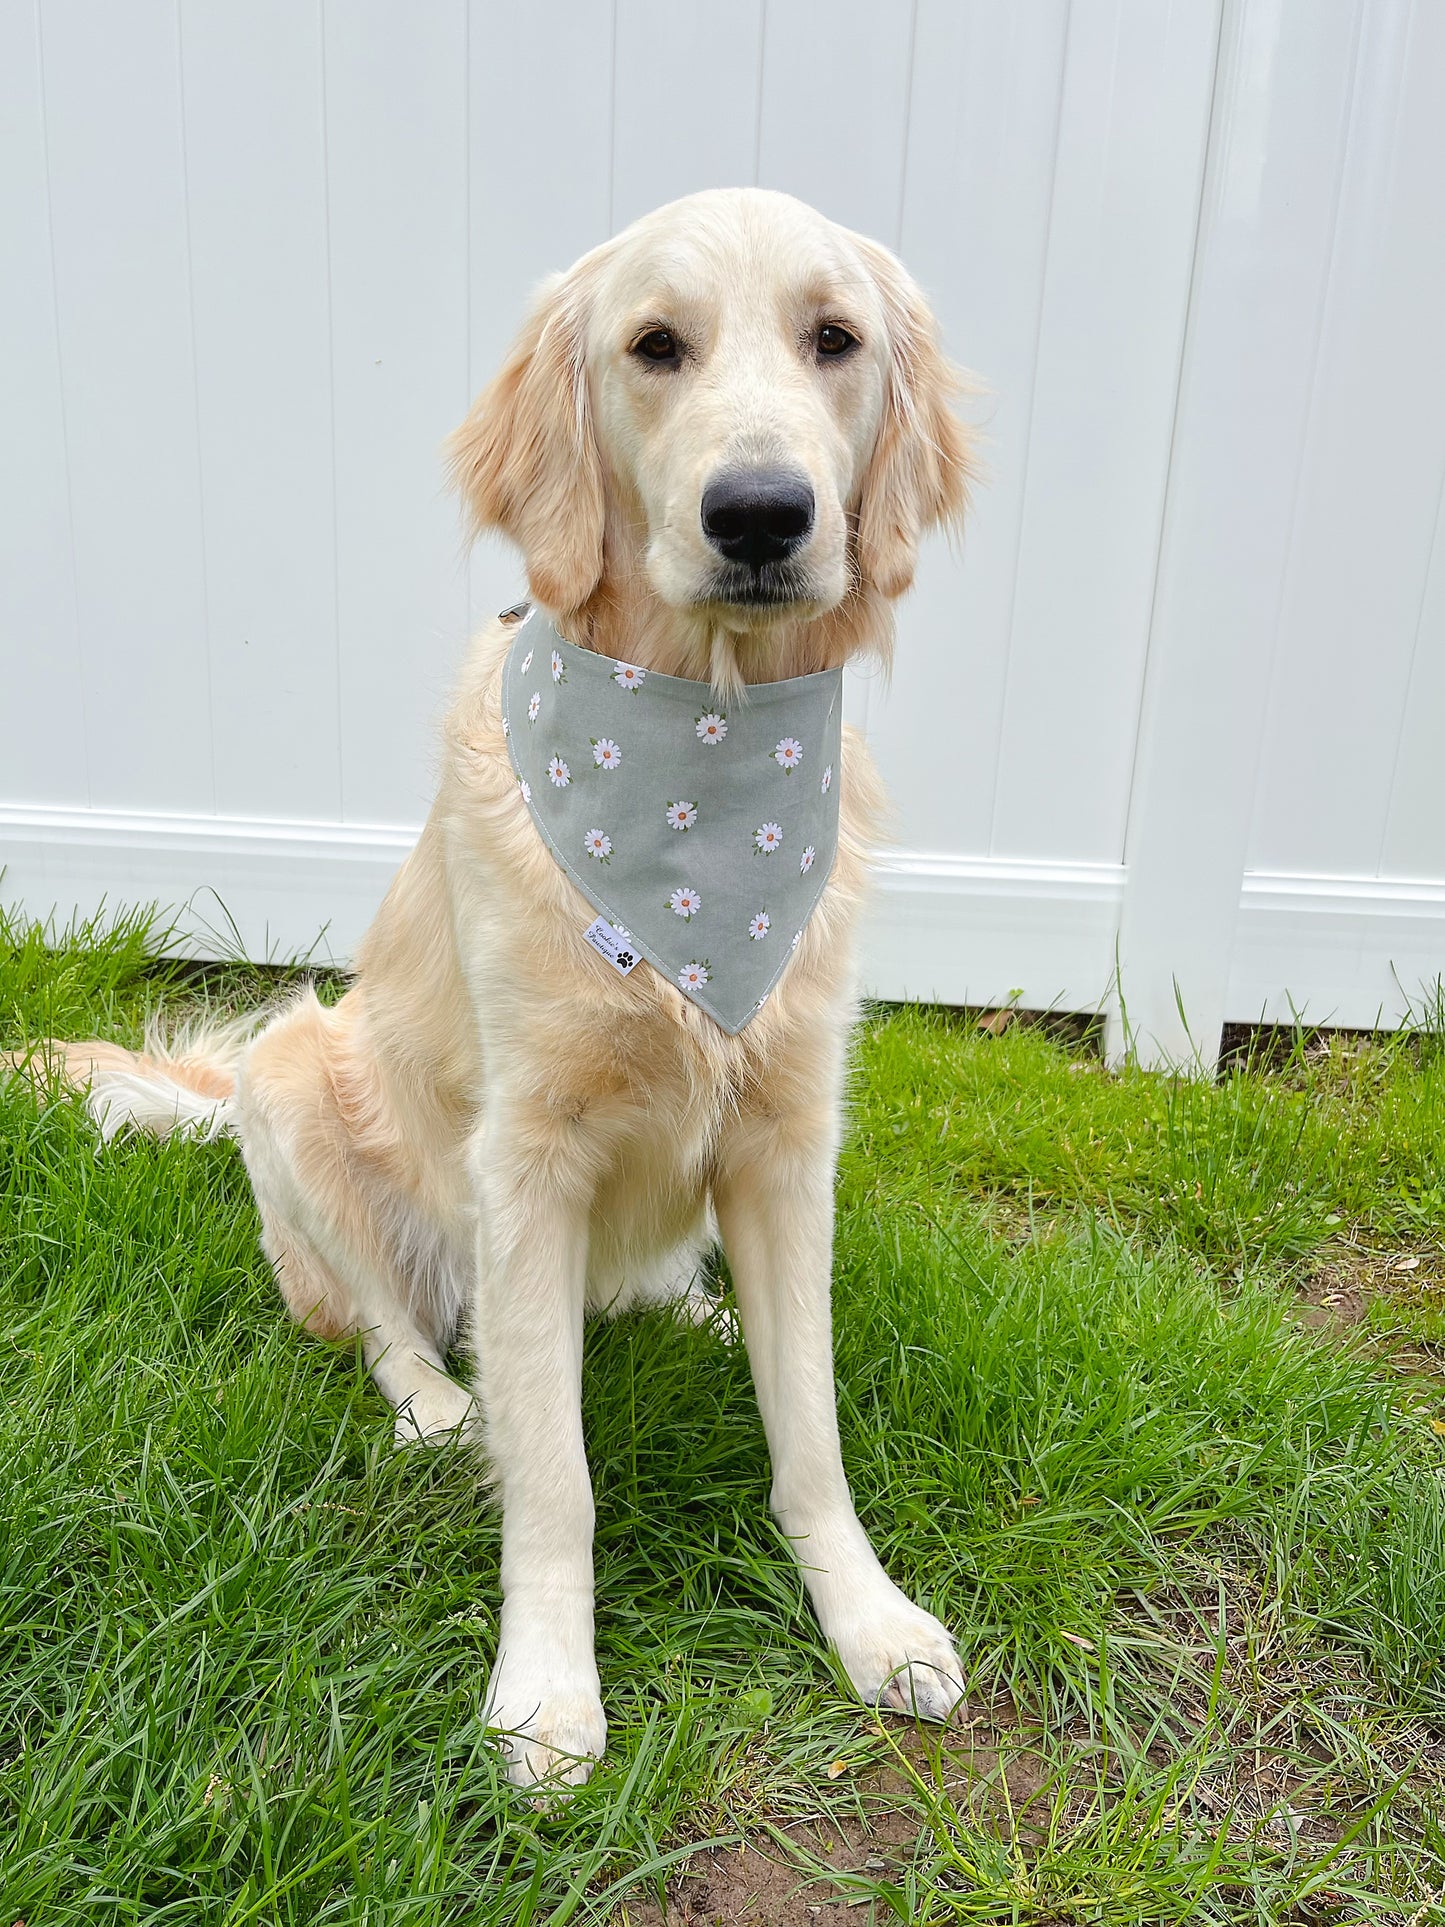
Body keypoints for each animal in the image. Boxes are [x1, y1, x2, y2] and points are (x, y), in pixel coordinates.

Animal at [33, 187, 978, 1780]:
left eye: (834, 339)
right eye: (655, 345)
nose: (761, 513)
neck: (700, 755)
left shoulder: (790, 1140)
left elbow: (810, 1432)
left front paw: (867, 1616)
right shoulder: (524, 1159)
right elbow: (555, 1476)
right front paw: (545, 1688)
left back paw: (693, 1312)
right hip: (293, 1079)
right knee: (385, 1323)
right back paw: (433, 1401)